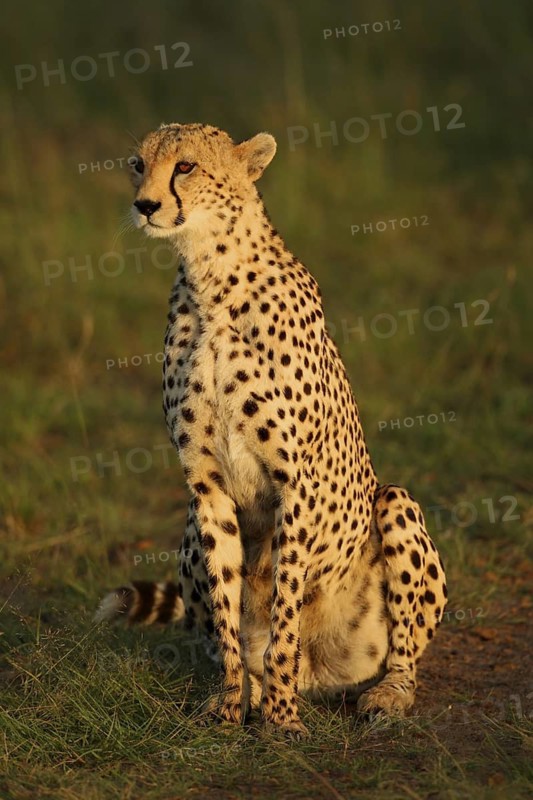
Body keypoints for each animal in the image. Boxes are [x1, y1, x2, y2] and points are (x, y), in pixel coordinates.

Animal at [96, 122, 447, 739]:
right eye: (138, 164)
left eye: (185, 166)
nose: (145, 205)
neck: (212, 280)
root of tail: (322, 675)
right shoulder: (206, 486)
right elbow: (227, 615)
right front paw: (232, 706)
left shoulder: (295, 485)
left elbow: (285, 611)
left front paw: (282, 720)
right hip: (189, 524)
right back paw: (254, 690)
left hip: (395, 505)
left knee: (402, 652)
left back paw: (383, 694)